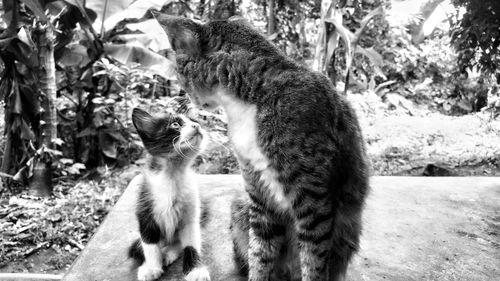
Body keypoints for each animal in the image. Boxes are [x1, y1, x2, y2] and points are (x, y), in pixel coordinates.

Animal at [128, 107, 210, 280]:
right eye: (175, 124)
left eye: (194, 121)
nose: (197, 126)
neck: (173, 174)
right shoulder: (145, 208)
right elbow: (149, 243)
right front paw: (151, 267)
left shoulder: (191, 213)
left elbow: (191, 243)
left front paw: (195, 270)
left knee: (178, 241)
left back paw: (169, 253)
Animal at [158, 15, 370, 280]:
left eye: (178, 73)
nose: (186, 98)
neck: (247, 103)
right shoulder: (258, 193)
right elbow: (260, 252)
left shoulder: (312, 201)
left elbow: (313, 260)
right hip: (241, 204)